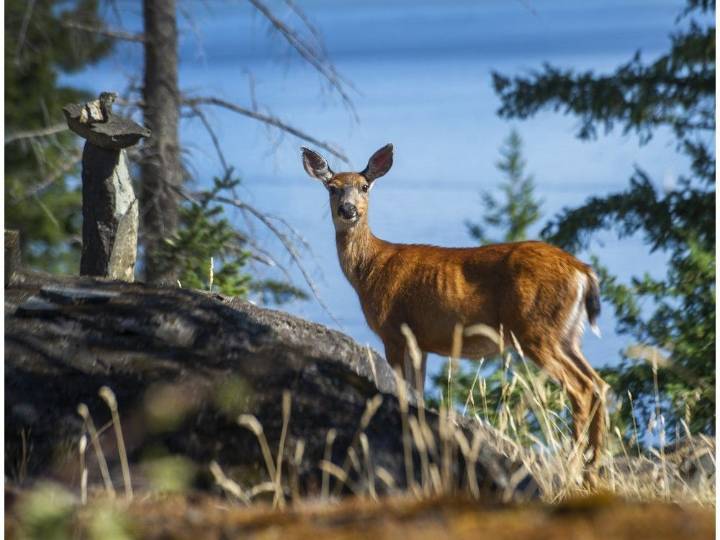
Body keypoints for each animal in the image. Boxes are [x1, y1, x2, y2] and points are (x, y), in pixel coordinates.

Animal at [301, 143, 609, 483]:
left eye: (364, 186)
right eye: (332, 187)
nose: (348, 210)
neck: (369, 270)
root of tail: (582, 270)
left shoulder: (393, 331)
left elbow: (400, 389)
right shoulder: (419, 341)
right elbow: (418, 394)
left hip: (534, 328)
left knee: (581, 389)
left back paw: (573, 467)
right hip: (566, 334)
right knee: (599, 384)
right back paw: (593, 470)